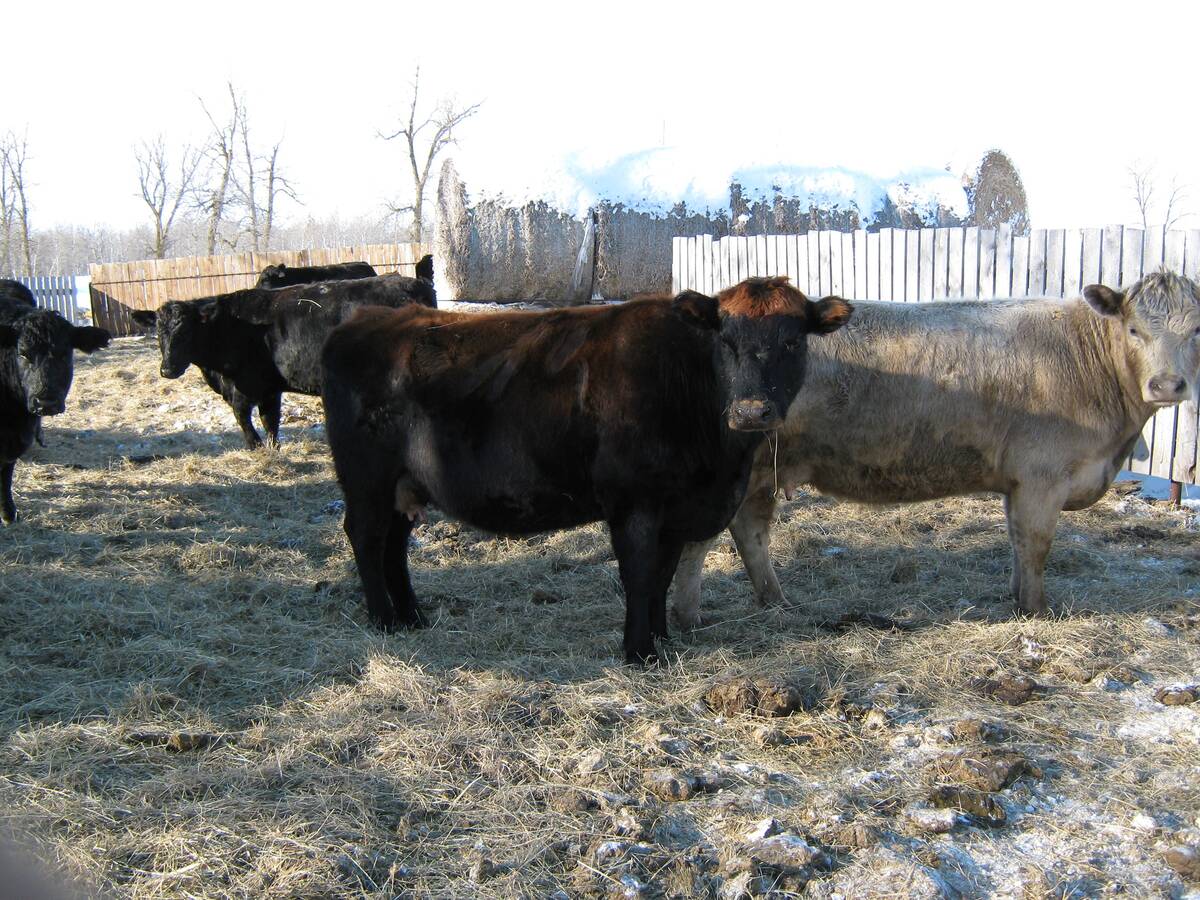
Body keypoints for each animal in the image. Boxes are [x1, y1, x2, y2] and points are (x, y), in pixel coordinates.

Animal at [131, 273, 436, 448]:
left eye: (185, 331)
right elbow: (271, 420)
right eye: (158, 331)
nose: (167, 369)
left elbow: (243, 417)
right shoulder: (270, 387)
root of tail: (415, 283)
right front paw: (272, 448)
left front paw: (255, 447)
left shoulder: (247, 384)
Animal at [321, 277, 852, 663]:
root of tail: (365, 322)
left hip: (404, 485)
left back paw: (412, 617)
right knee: (366, 537)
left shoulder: (676, 511)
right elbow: (639, 574)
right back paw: (384, 620)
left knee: (394, 545)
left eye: (792, 341)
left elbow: (661, 575)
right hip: (367, 481)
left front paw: (662, 636)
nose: (750, 411)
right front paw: (640, 652)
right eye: (725, 339)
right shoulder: (635, 504)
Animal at [671, 270, 1200, 629]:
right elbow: (1036, 544)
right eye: (1134, 329)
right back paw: (689, 616)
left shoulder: (1018, 482)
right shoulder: (1042, 477)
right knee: (704, 539)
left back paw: (774, 600)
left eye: (1196, 331)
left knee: (750, 532)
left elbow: (1016, 541)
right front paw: (1037, 610)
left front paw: (1016, 598)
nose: (1168, 385)